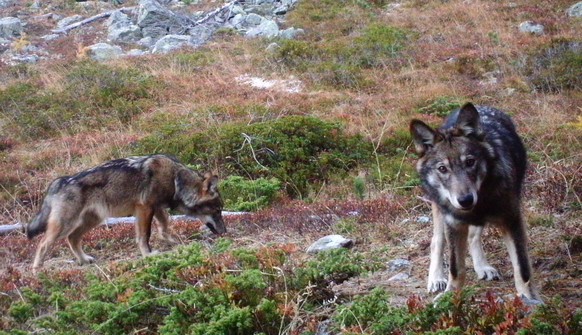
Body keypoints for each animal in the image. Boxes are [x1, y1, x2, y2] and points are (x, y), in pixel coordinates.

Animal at [26, 155, 226, 270]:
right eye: (217, 210)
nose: (225, 232)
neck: (175, 179)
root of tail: (59, 182)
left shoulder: (157, 208)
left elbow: (164, 229)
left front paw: (173, 242)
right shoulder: (144, 208)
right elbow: (145, 235)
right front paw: (148, 255)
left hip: (92, 221)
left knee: (72, 239)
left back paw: (84, 260)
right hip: (66, 225)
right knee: (42, 243)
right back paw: (37, 271)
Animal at [410, 101, 544, 302]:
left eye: (470, 162)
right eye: (442, 169)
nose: (465, 200)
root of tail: (482, 106)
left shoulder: (512, 221)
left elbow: (522, 268)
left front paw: (528, 298)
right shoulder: (454, 224)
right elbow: (456, 269)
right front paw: (449, 298)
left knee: (473, 236)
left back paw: (483, 267)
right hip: (439, 211)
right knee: (436, 241)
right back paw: (436, 278)